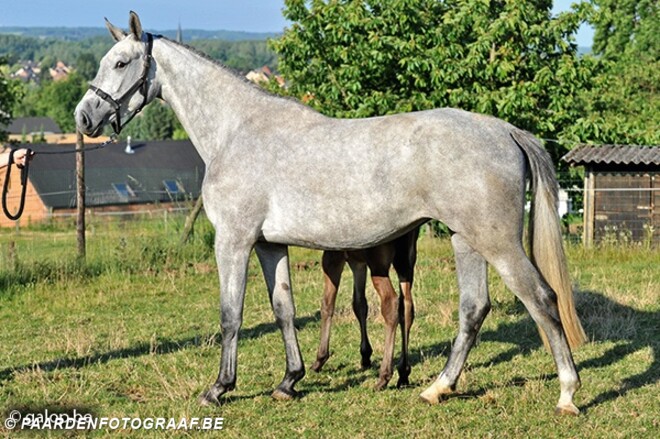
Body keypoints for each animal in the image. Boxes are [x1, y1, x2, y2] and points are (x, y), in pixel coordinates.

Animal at [313, 227, 419, 389]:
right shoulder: (357, 262)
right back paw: (403, 373)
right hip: (407, 261)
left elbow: (327, 304)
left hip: (378, 265)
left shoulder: (333, 256)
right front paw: (365, 355)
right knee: (407, 306)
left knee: (391, 303)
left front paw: (320, 358)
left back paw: (384, 376)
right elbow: (359, 304)